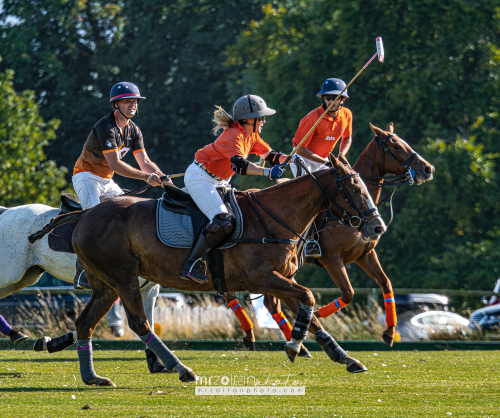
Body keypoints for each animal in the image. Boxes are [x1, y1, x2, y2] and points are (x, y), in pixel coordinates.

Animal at [0, 202, 165, 372]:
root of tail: (6, 211)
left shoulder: (147, 290)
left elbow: (148, 322)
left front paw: (156, 362)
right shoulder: (124, 286)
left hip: (23, 278)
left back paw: (15, 334)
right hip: (10, 273)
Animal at [31, 154, 386, 386]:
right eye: (354, 188)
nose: (377, 226)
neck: (275, 216)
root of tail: (84, 215)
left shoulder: (280, 280)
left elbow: (309, 311)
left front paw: (345, 358)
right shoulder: (264, 279)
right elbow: (309, 298)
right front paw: (294, 346)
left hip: (105, 283)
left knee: (85, 322)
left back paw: (93, 376)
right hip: (123, 276)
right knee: (139, 322)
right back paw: (180, 368)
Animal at [227, 122, 434, 348]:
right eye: (396, 146)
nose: (428, 169)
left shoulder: (365, 254)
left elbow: (385, 283)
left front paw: (389, 333)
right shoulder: (331, 258)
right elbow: (349, 293)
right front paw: (319, 313)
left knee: (269, 302)